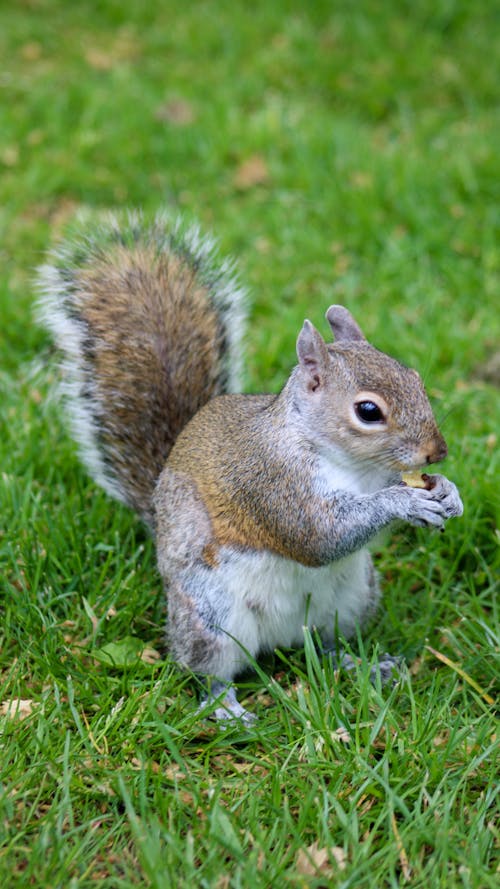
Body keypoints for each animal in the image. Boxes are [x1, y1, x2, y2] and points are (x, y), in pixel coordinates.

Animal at [37, 210, 462, 720]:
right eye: (368, 411)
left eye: (414, 378)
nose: (436, 452)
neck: (349, 464)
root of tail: (281, 638)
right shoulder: (270, 482)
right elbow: (318, 536)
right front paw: (402, 502)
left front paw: (447, 492)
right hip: (211, 615)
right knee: (207, 667)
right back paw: (225, 706)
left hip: (352, 598)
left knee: (326, 646)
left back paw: (362, 665)